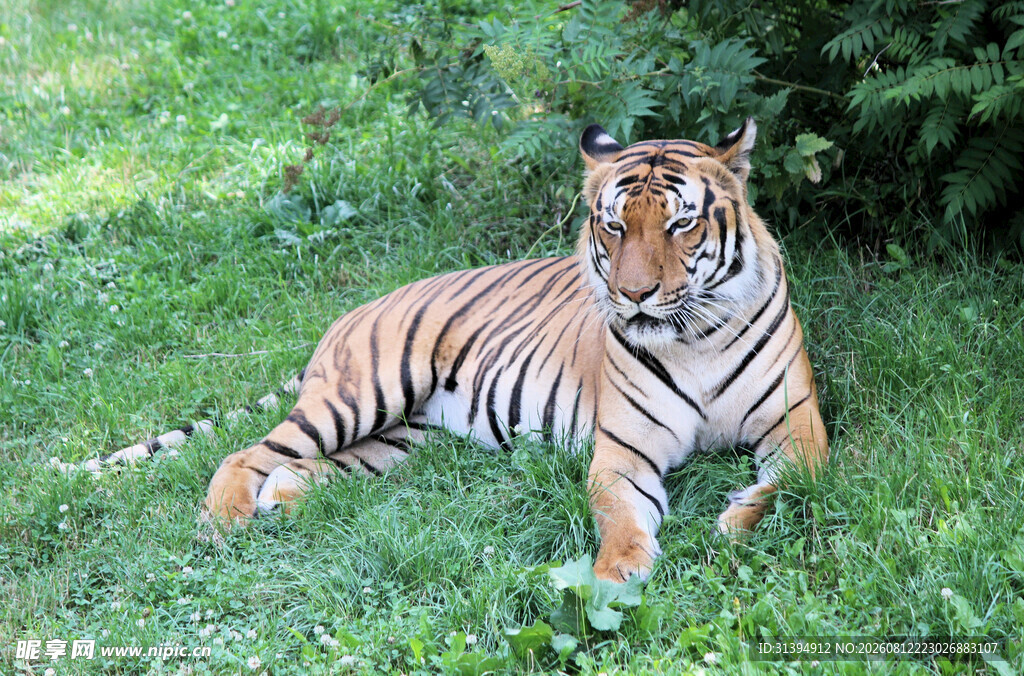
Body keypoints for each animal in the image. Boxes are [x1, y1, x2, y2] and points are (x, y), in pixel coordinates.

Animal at [59, 119, 828, 582]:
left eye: (680, 224)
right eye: (612, 226)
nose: (635, 295)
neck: (695, 335)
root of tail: (355, 310)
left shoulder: (797, 429)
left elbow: (790, 486)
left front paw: (733, 521)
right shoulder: (624, 451)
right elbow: (618, 517)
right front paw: (617, 574)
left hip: (405, 437)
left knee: (303, 467)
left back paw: (282, 497)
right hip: (361, 394)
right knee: (244, 453)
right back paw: (222, 525)